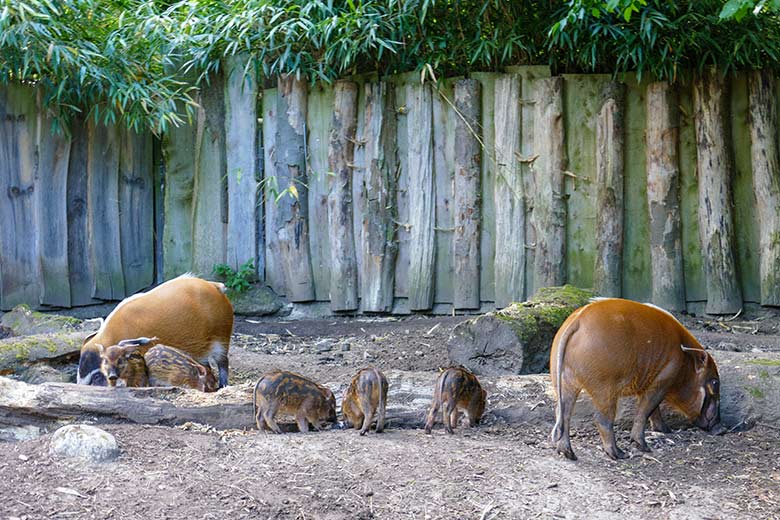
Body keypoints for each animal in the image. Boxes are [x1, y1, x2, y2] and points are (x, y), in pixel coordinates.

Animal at [548, 298, 724, 462]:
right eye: (715, 383)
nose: (722, 429)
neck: (684, 362)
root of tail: (576, 321)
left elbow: (654, 410)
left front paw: (666, 430)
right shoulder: (662, 381)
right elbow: (645, 410)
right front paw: (644, 447)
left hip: (563, 381)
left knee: (563, 413)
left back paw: (568, 453)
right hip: (604, 388)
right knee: (601, 419)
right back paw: (619, 454)